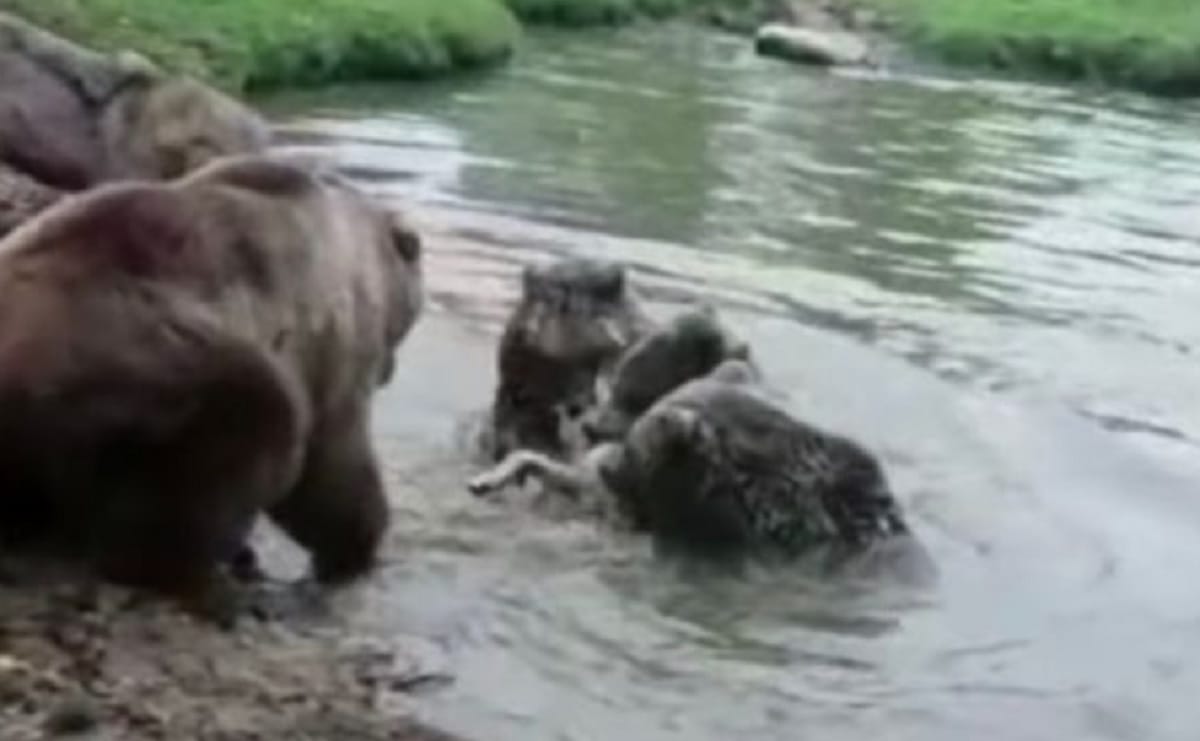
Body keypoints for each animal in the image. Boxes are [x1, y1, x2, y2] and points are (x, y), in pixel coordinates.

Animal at [0, 151, 423, 620]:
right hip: (143, 373)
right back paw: (216, 583)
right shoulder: (333, 344)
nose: (392, 369)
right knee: (236, 444)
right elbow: (333, 469)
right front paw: (354, 553)